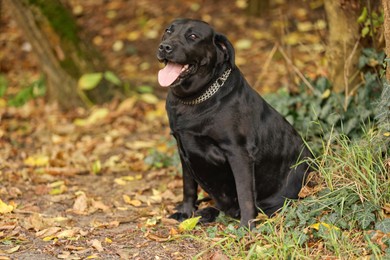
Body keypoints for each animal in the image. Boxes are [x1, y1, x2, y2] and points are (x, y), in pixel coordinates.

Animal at [157, 18, 312, 228]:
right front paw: (186, 212)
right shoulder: (182, 148)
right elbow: (188, 187)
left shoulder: (238, 153)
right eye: (168, 31)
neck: (194, 100)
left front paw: (247, 226)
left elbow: (244, 193)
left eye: (193, 36)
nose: (165, 47)